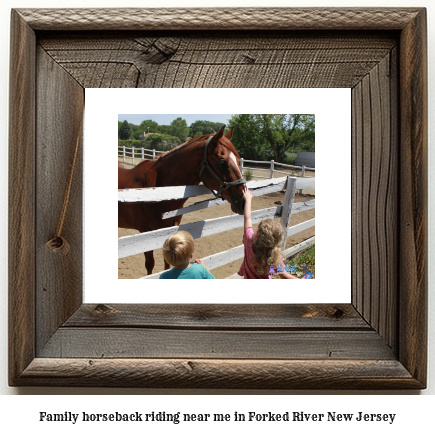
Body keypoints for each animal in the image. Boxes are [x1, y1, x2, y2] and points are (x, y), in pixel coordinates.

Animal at [119, 125, 247, 274]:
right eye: (222, 162)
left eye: (238, 161)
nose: (244, 201)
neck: (157, 191)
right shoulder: (144, 234)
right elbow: (149, 265)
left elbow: (167, 262)